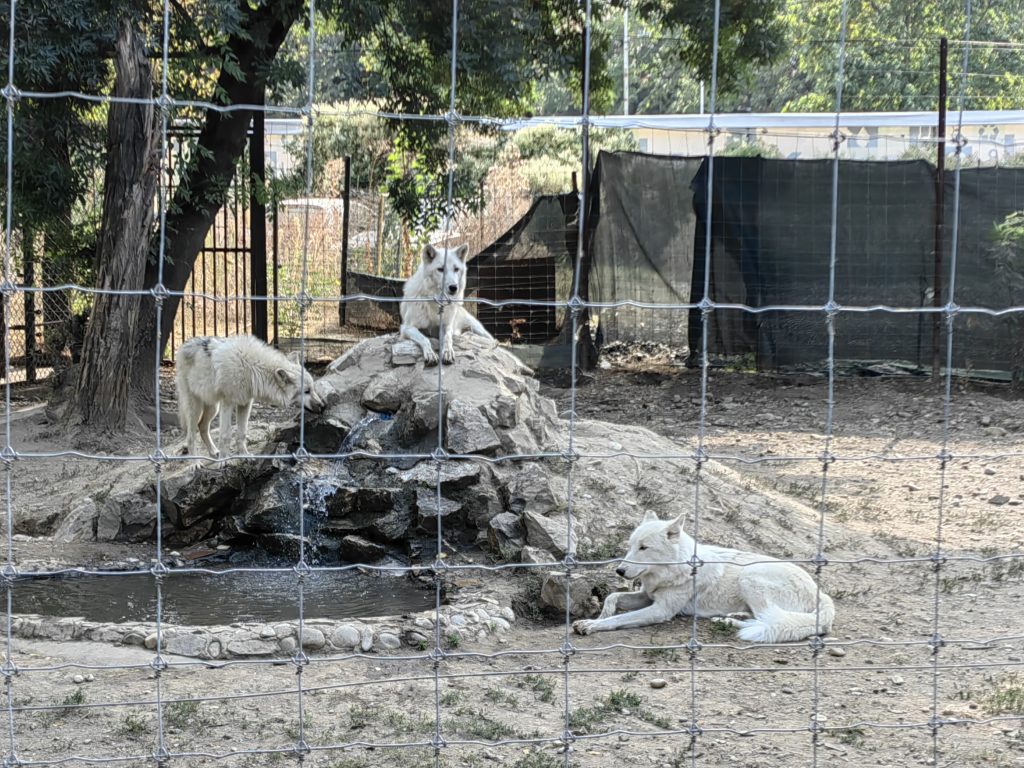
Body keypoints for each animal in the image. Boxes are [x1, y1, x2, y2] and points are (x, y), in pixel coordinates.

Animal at [174, 335, 321, 456]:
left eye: (313, 389)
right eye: (306, 391)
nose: (322, 405)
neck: (250, 367)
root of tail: (183, 345)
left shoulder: (245, 403)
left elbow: (242, 433)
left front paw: (244, 455)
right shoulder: (227, 403)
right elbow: (225, 435)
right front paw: (223, 461)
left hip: (213, 407)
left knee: (202, 427)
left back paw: (213, 451)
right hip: (196, 408)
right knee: (191, 436)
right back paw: (196, 463)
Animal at [573, 512, 835, 643]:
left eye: (644, 548)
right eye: (630, 546)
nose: (619, 571)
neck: (672, 570)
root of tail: (821, 593)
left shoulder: (661, 610)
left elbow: (618, 618)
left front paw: (592, 625)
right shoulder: (647, 596)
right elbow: (613, 597)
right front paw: (601, 614)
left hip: (750, 576)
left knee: (771, 621)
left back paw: (730, 622)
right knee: (766, 619)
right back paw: (731, 618)